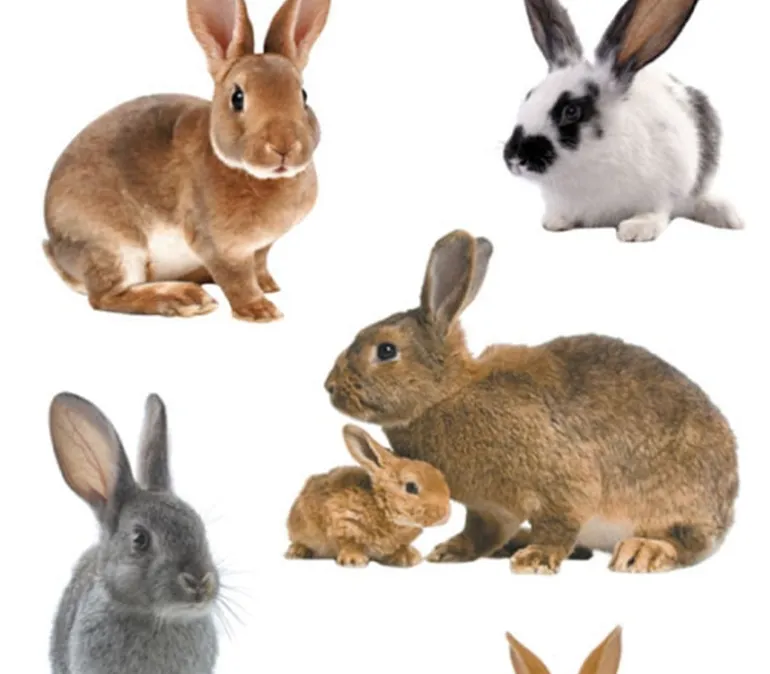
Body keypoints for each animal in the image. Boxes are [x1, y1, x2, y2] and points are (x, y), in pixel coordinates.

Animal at [43, 0, 331, 321]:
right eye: (238, 98)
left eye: (303, 95)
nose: (284, 146)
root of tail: (62, 258)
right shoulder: (220, 247)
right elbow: (237, 279)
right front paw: (260, 310)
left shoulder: (260, 248)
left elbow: (258, 265)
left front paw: (269, 286)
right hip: (113, 247)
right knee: (106, 297)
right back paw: (184, 298)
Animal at [285, 424, 451, 567]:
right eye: (411, 487)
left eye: (440, 476)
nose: (445, 515)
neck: (380, 506)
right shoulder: (343, 521)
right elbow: (350, 542)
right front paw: (353, 560)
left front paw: (408, 557)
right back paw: (297, 551)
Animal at [325, 230, 739, 574]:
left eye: (386, 350)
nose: (329, 387)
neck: (448, 394)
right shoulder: (488, 508)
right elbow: (481, 531)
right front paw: (451, 551)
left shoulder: (562, 483)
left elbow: (559, 523)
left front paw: (536, 560)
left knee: (688, 544)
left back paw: (641, 552)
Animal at [503, 0, 743, 242]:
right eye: (529, 95)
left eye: (571, 111)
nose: (513, 158)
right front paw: (555, 222)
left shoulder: (663, 189)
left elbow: (656, 211)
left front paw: (636, 230)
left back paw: (730, 218)